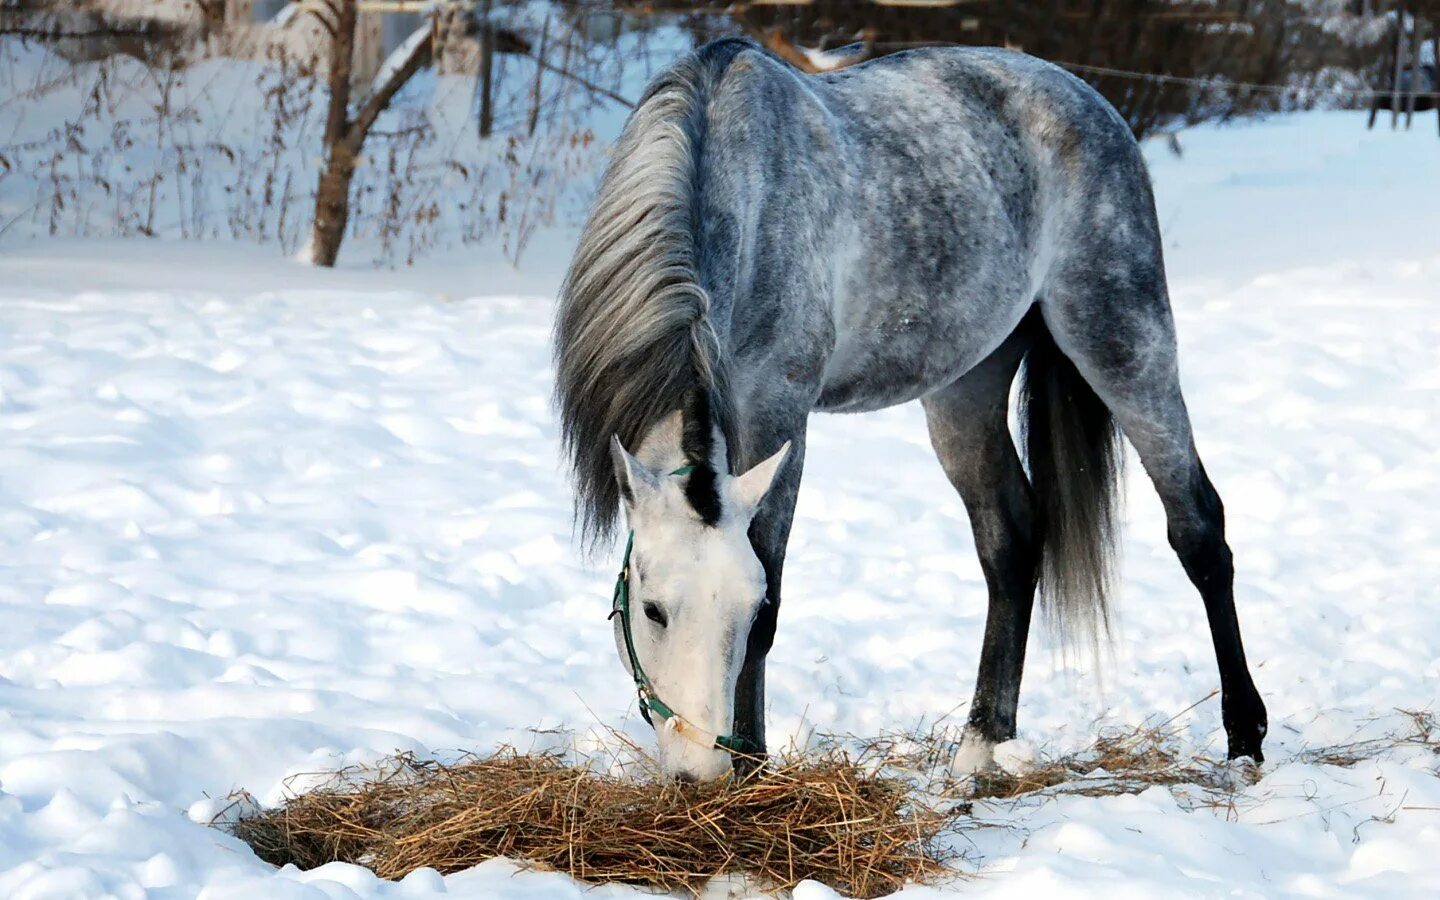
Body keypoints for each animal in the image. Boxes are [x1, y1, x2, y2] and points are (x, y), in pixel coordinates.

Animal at [552, 36, 1272, 777]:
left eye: (746, 610)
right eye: (654, 610)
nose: (699, 772)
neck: (728, 186)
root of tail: (1087, 99)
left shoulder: (779, 411)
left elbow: (773, 589)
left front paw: (752, 769)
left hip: (1122, 340)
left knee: (1198, 527)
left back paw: (1244, 735)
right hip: (967, 385)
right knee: (1011, 542)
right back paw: (982, 746)